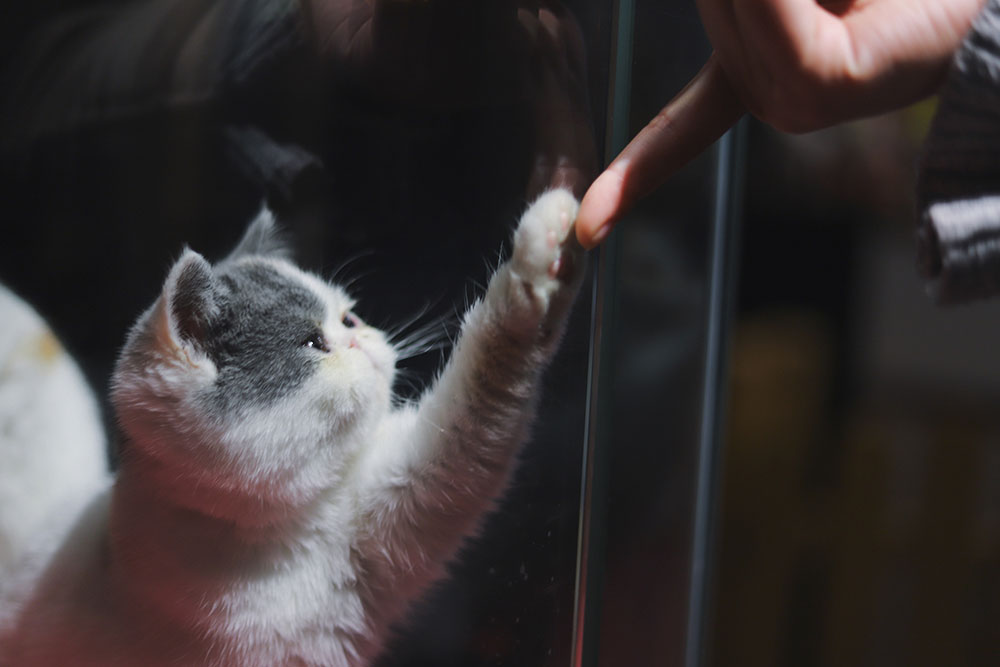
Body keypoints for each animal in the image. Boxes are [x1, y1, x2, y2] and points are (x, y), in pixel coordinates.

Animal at [0, 189, 588, 667]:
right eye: (311, 343)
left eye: (348, 317)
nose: (362, 338)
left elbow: (472, 430)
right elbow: (488, 374)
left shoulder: (388, 514)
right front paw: (538, 258)